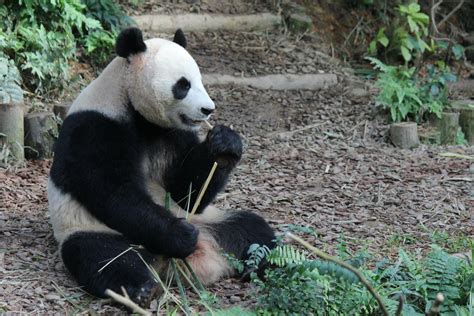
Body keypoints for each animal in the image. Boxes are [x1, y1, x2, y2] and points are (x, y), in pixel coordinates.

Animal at [47, 27, 274, 306]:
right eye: (183, 85)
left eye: (199, 80)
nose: (208, 109)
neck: (129, 102)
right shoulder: (94, 127)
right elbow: (114, 193)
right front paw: (180, 235)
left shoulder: (172, 133)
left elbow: (186, 192)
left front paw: (224, 144)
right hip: (90, 229)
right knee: (104, 257)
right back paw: (142, 288)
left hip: (213, 220)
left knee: (252, 229)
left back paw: (268, 266)